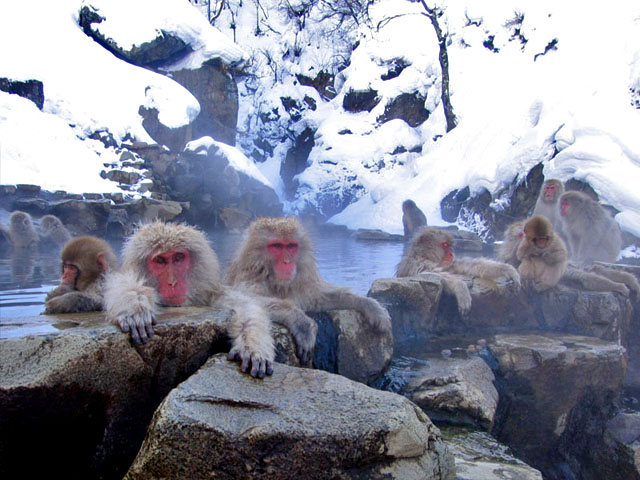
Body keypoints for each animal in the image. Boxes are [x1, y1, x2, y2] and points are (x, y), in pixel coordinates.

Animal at [103, 221, 276, 378]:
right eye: (160, 261)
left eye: (178, 258)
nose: (172, 282)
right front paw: (135, 308)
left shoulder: (213, 295)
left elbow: (246, 306)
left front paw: (252, 347)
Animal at [225, 216, 396, 362]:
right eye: (277, 246)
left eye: (291, 246)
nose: (287, 262)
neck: (276, 282)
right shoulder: (249, 280)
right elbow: (243, 299)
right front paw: (303, 324)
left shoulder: (300, 285)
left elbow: (319, 298)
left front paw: (369, 305)